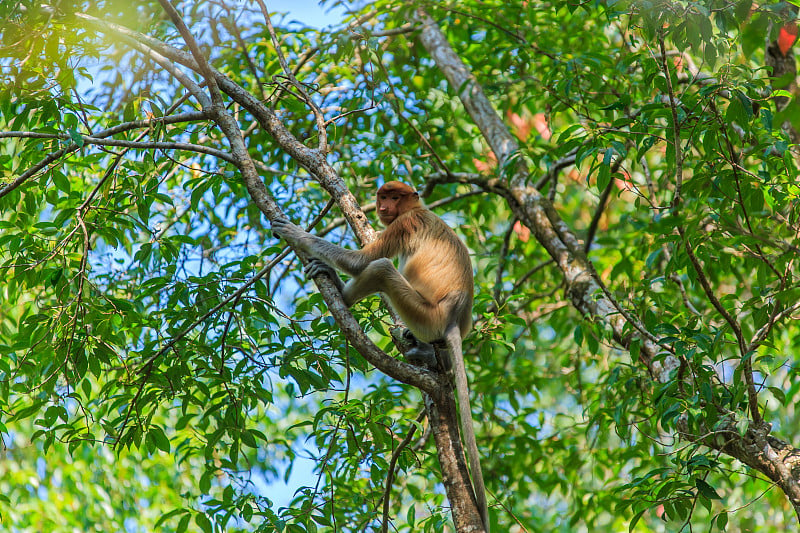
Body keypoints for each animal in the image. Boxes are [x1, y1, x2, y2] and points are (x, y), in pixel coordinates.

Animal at [274, 182, 488, 528]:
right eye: (383, 195)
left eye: (395, 196)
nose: (384, 206)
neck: (418, 209)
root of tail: (455, 317)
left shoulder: (404, 225)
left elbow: (361, 261)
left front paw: (295, 233)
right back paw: (430, 355)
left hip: (426, 315)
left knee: (381, 267)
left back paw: (340, 292)